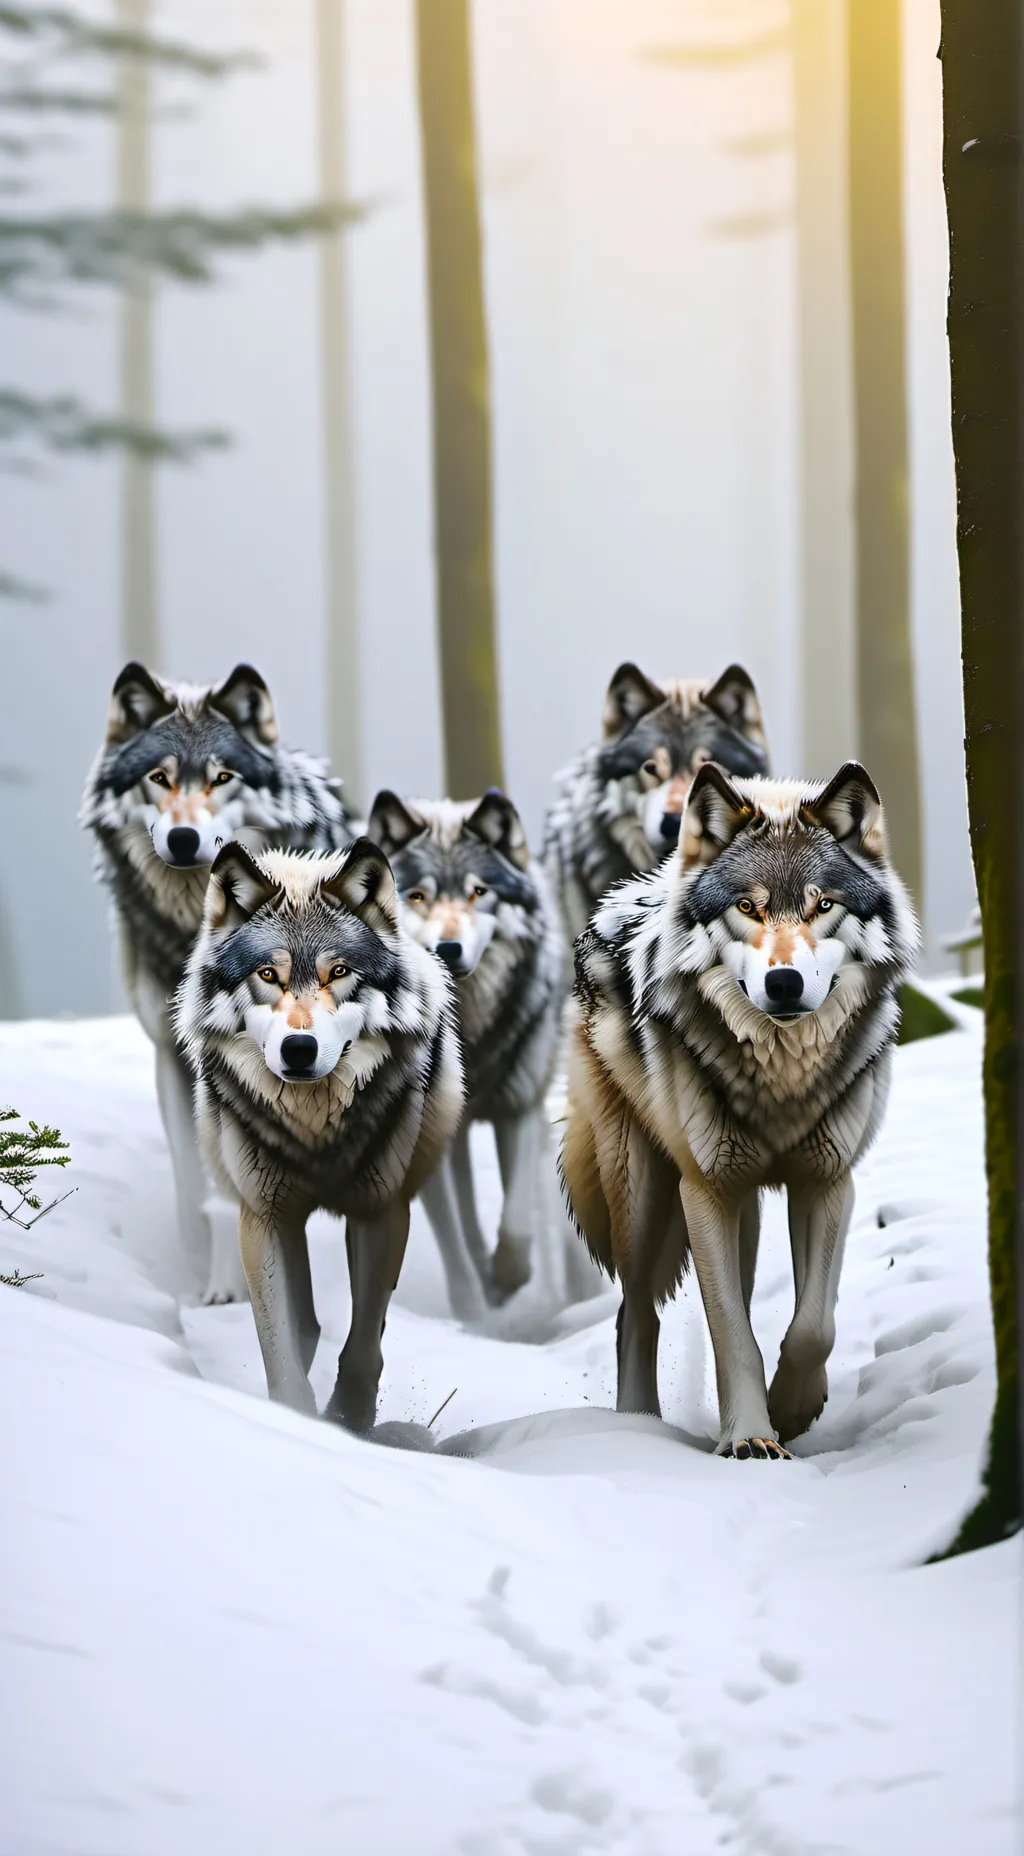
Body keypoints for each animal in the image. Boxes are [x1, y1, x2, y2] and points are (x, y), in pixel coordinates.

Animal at [81, 660, 350, 1301]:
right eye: (158, 777)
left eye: (222, 776)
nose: (184, 840)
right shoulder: (171, 1057)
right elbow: (191, 1186)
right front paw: (202, 1277)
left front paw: (229, 1292)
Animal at [175, 838, 464, 1422]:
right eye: (268, 975)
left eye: (339, 972)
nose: (299, 1049)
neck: (315, 1132)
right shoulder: (263, 1217)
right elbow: (281, 1342)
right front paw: (295, 1416)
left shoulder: (380, 1212)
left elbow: (363, 1344)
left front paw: (348, 1420)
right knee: (304, 1321)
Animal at [366, 787, 587, 1322]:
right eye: (418, 896)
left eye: (478, 892)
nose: (448, 948)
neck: (471, 1032)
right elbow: (455, 1246)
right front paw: (474, 1314)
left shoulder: (518, 1110)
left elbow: (517, 1220)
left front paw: (509, 1277)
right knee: (464, 1217)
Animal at [560, 759, 917, 1458]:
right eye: (748, 907)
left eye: (823, 905)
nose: (784, 983)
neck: (782, 1078)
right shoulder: (706, 1189)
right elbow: (731, 1333)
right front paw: (751, 1436)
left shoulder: (827, 1182)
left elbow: (813, 1326)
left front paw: (793, 1407)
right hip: (645, 1198)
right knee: (635, 1311)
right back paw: (638, 1428)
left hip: (741, 1206)